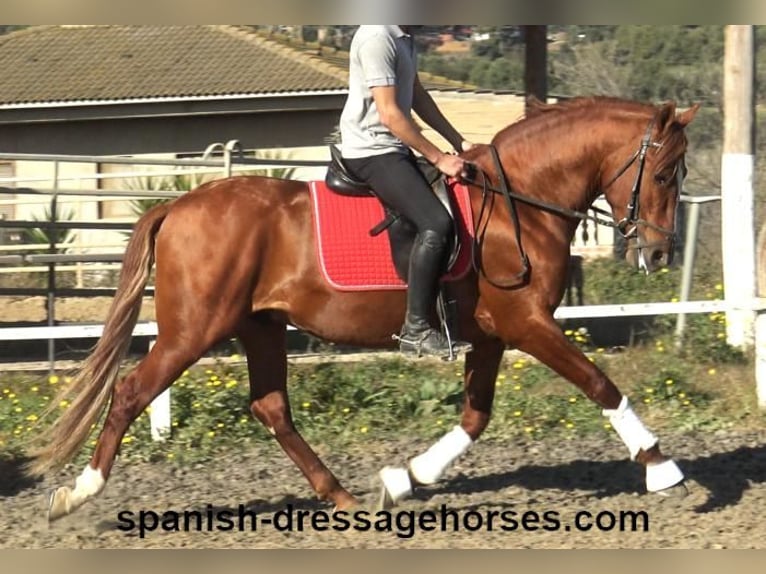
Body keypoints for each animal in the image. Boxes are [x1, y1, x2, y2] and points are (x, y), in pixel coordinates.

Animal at [33, 98, 700, 520]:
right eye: (665, 172)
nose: (659, 252)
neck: (521, 205)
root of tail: (178, 205)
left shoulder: (492, 335)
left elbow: (475, 417)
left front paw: (405, 480)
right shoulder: (527, 324)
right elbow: (599, 384)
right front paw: (662, 468)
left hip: (260, 326)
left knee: (271, 407)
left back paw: (343, 497)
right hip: (194, 330)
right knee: (131, 392)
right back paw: (79, 493)